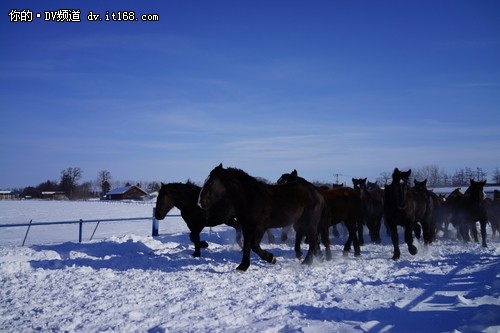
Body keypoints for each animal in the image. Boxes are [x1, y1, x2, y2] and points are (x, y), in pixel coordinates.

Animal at [197, 163, 330, 270]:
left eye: (211, 182)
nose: (200, 202)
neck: (250, 198)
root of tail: (318, 193)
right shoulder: (247, 227)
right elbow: (247, 246)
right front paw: (243, 266)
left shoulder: (260, 226)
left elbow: (254, 246)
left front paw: (271, 258)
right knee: (315, 240)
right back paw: (319, 259)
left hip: (310, 222)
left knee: (312, 241)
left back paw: (307, 262)